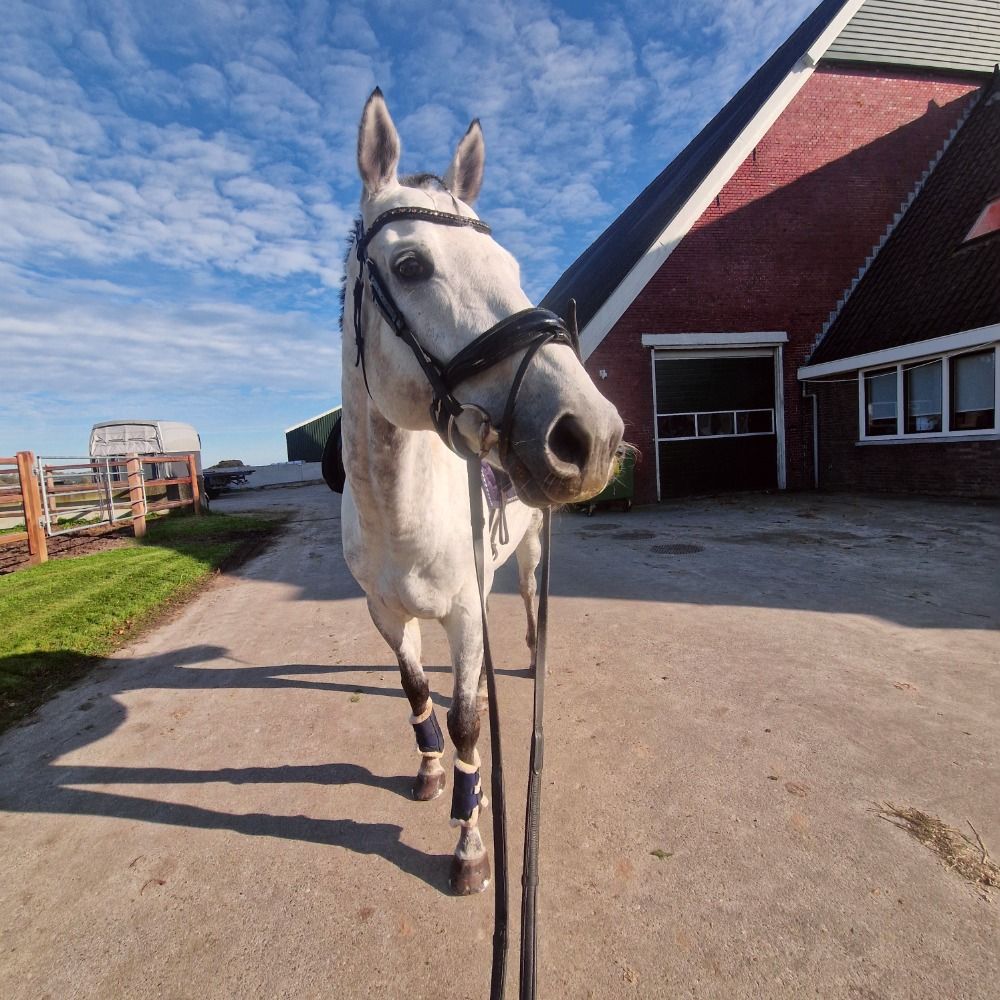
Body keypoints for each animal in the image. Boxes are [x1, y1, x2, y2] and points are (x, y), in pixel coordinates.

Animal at [339, 88, 624, 895]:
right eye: (410, 264)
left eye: (510, 266)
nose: (590, 435)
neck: (396, 515)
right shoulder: (384, 614)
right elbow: (415, 693)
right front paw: (431, 771)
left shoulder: (467, 614)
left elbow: (470, 720)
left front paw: (469, 842)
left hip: (527, 552)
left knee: (527, 602)